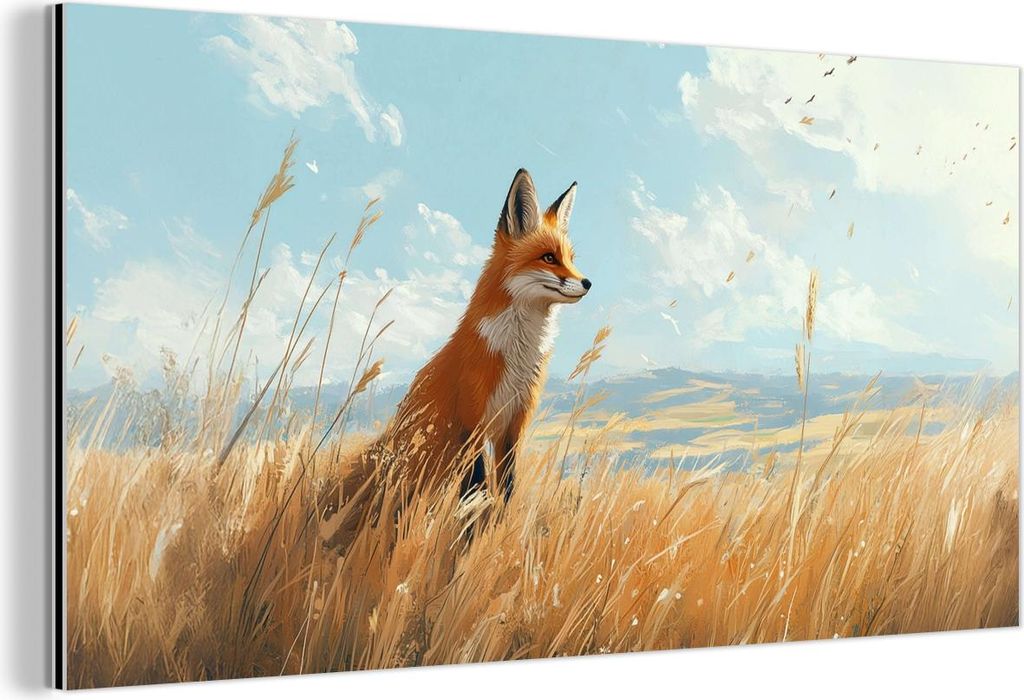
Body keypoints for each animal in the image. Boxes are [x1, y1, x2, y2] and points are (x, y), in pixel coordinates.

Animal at [359, 168, 591, 505]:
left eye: (571, 258)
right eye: (548, 257)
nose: (587, 282)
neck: (517, 354)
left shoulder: (513, 422)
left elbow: (507, 484)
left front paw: (500, 516)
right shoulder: (472, 419)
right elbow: (476, 484)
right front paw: (472, 515)